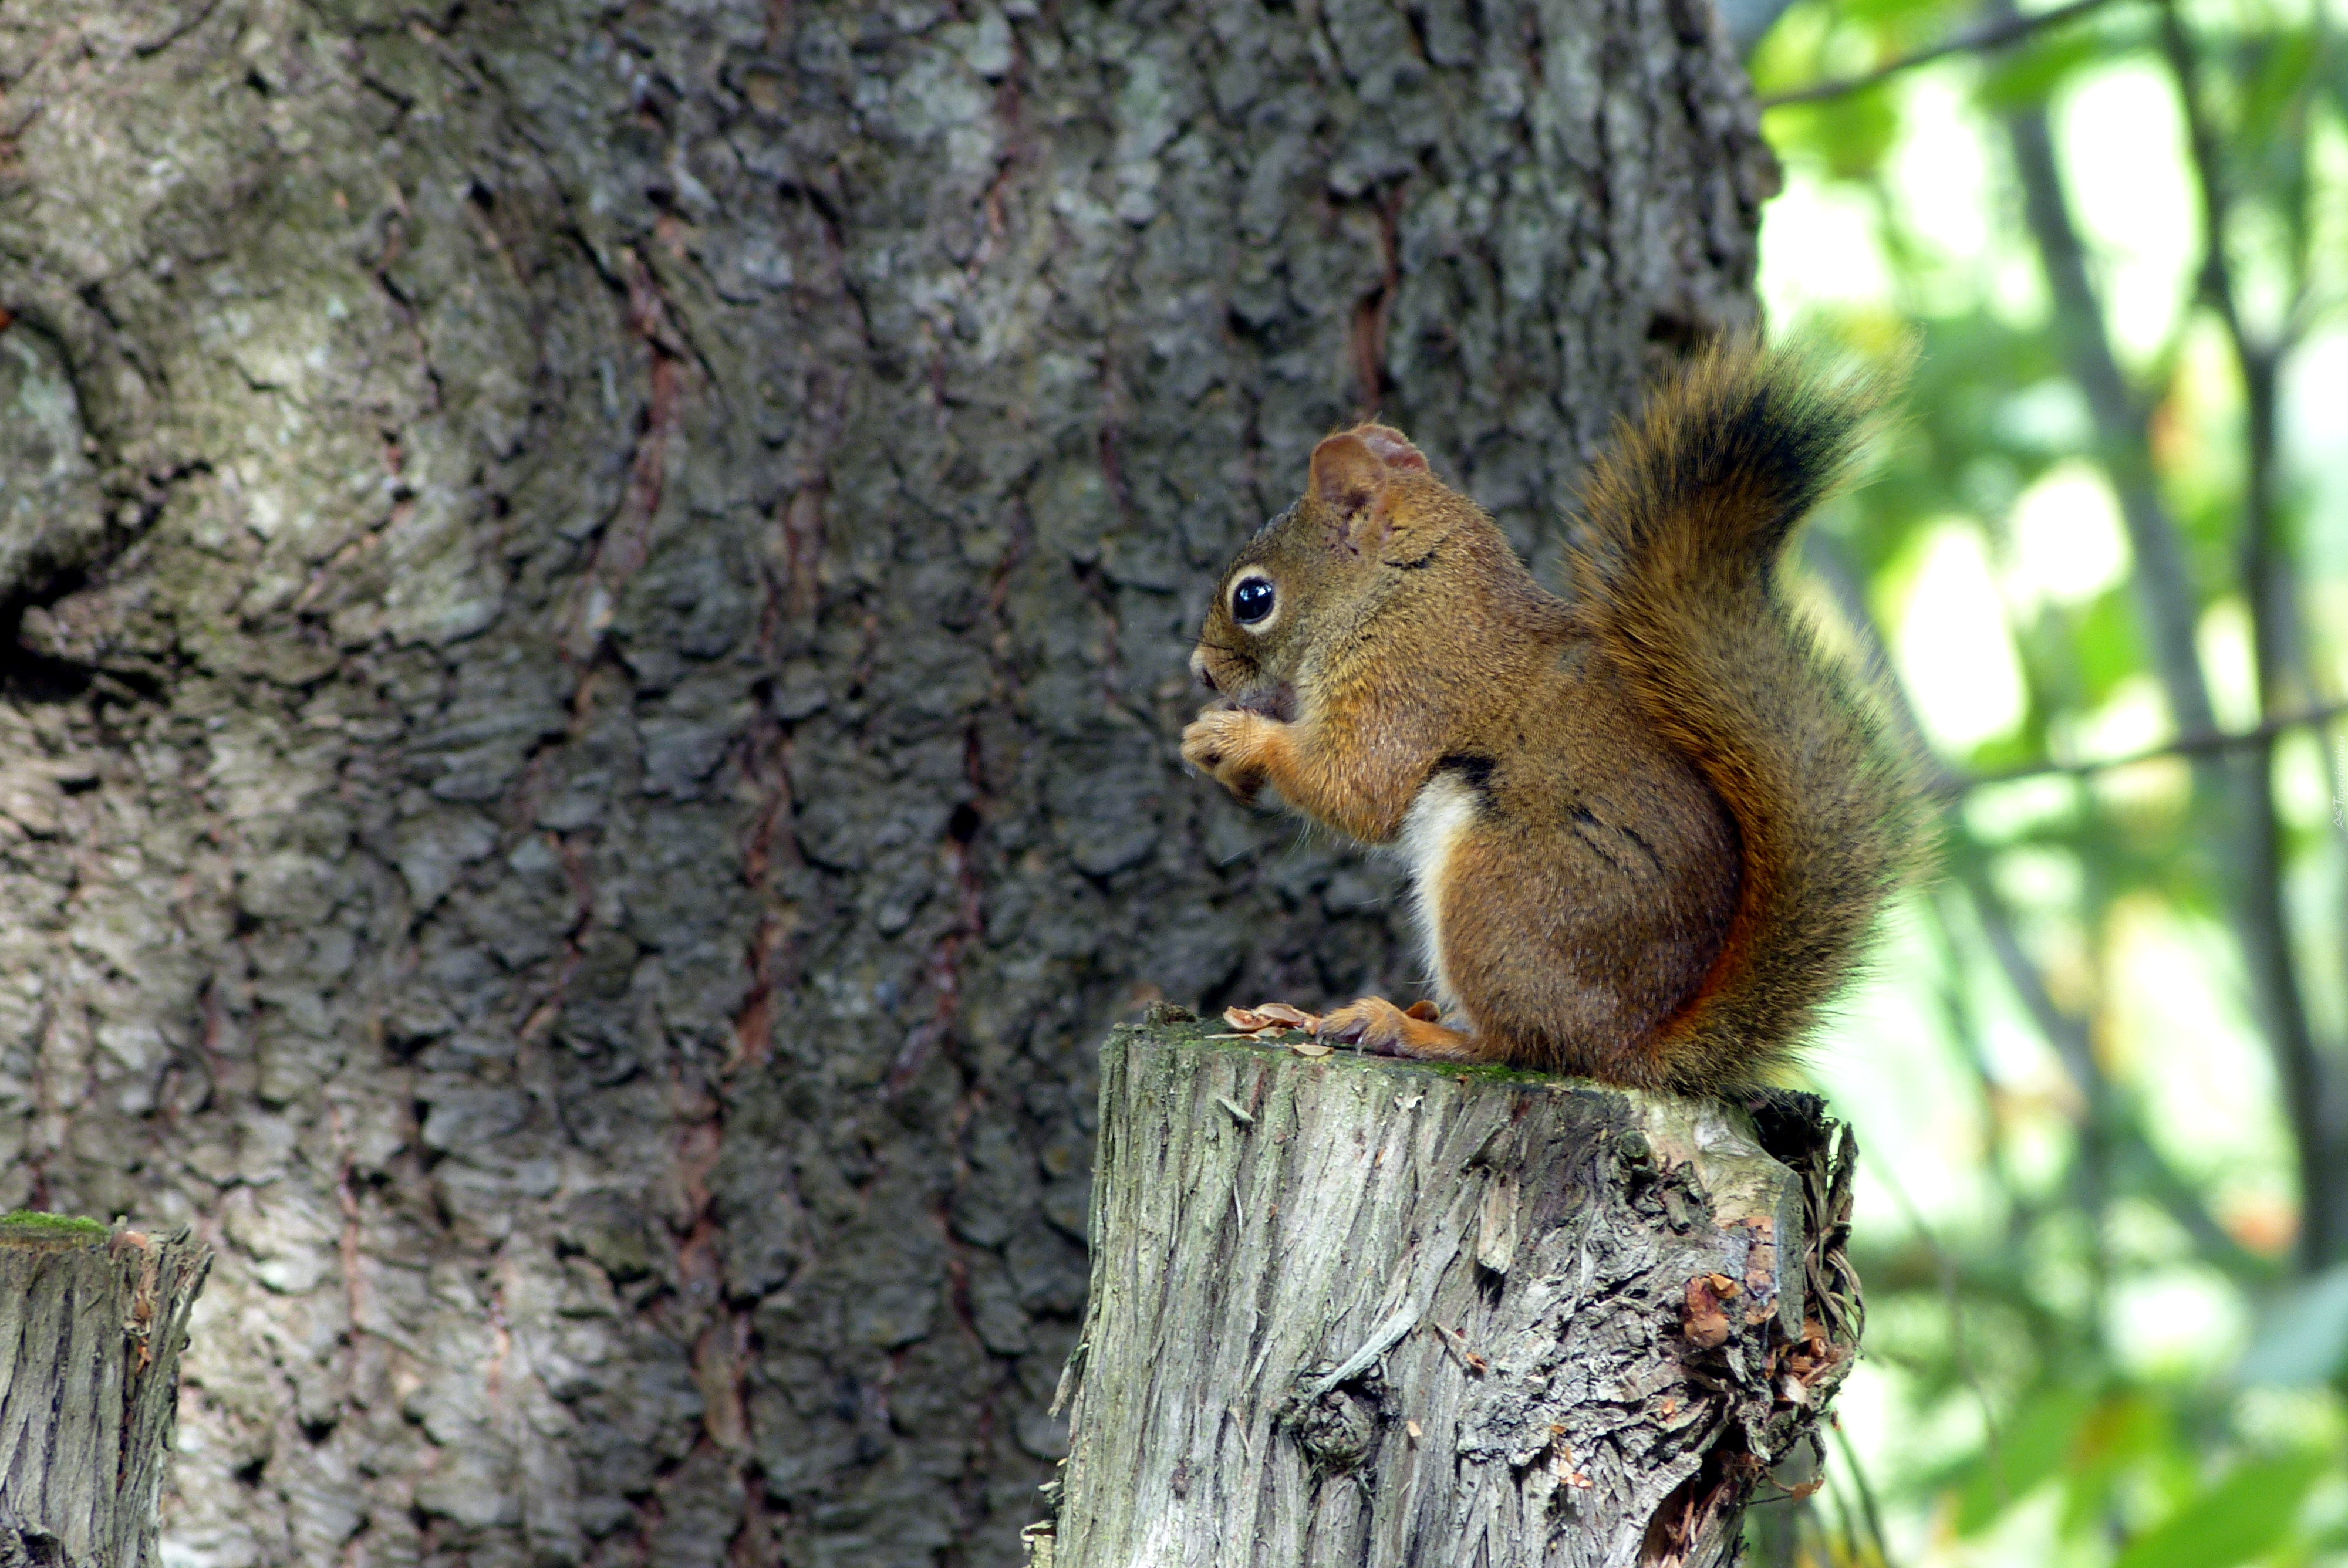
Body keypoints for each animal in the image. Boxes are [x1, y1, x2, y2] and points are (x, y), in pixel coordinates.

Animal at [1183, 340, 1916, 1089]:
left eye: (1253, 598)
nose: (1200, 671)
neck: (1401, 589)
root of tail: (1633, 1044)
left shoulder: (1404, 684)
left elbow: (1356, 787)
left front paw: (1228, 738)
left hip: (1497, 892)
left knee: (1517, 1043)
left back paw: (1403, 1027)